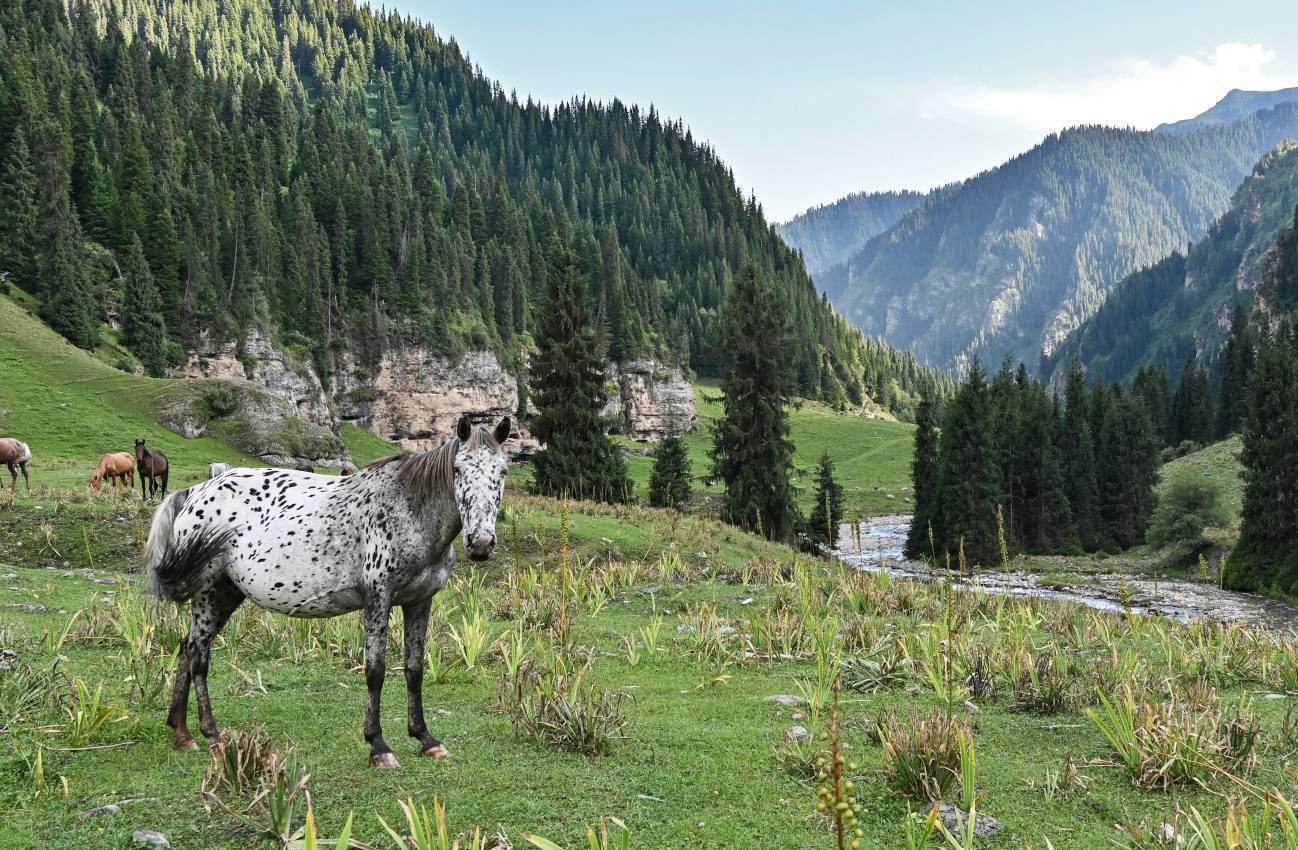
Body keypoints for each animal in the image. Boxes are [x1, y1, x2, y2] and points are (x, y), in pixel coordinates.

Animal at [146, 415, 511, 768]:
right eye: (458, 470)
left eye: (503, 471)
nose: (480, 543)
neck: (410, 511)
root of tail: (194, 492)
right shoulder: (378, 599)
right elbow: (375, 671)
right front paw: (378, 746)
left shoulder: (420, 602)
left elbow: (415, 669)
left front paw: (425, 738)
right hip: (208, 591)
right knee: (198, 656)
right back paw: (212, 734)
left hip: (226, 593)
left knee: (187, 647)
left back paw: (182, 732)